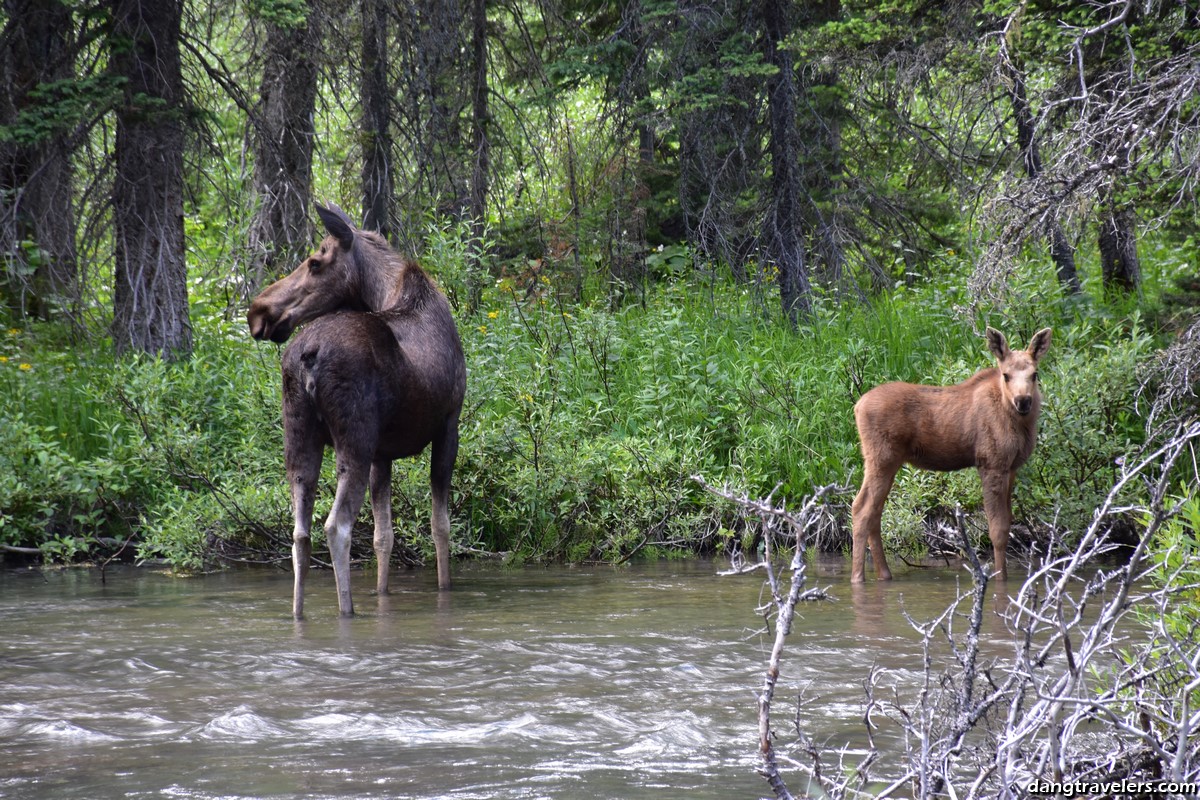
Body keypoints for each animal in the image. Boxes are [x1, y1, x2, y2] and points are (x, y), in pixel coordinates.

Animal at [247, 203, 463, 618]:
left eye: (315, 262)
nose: (258, 311)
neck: (385, 292)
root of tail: (308, 356)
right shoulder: (449, 423)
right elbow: (439, 525)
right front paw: (446, 589)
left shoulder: (383, 452)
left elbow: (383, 536)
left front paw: (382, 594)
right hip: (354, 439)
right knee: (336, 525)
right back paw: (347, 610)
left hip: (300, 438)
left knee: (300, 531)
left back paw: (298, 613)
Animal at [849, 328, 1056, 585]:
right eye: (1006, 375)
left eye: (1034, 374)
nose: (1023, 401)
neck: (1020, 424)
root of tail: (857, 406)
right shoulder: (991, 464)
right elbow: (997, 530)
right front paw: (1000, 580)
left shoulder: (1012, 467)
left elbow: (1007, 524)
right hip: (881, 458)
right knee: (861, 508)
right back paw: (857, 578)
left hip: (887, 462)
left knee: (875, 511)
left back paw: (884, 575)